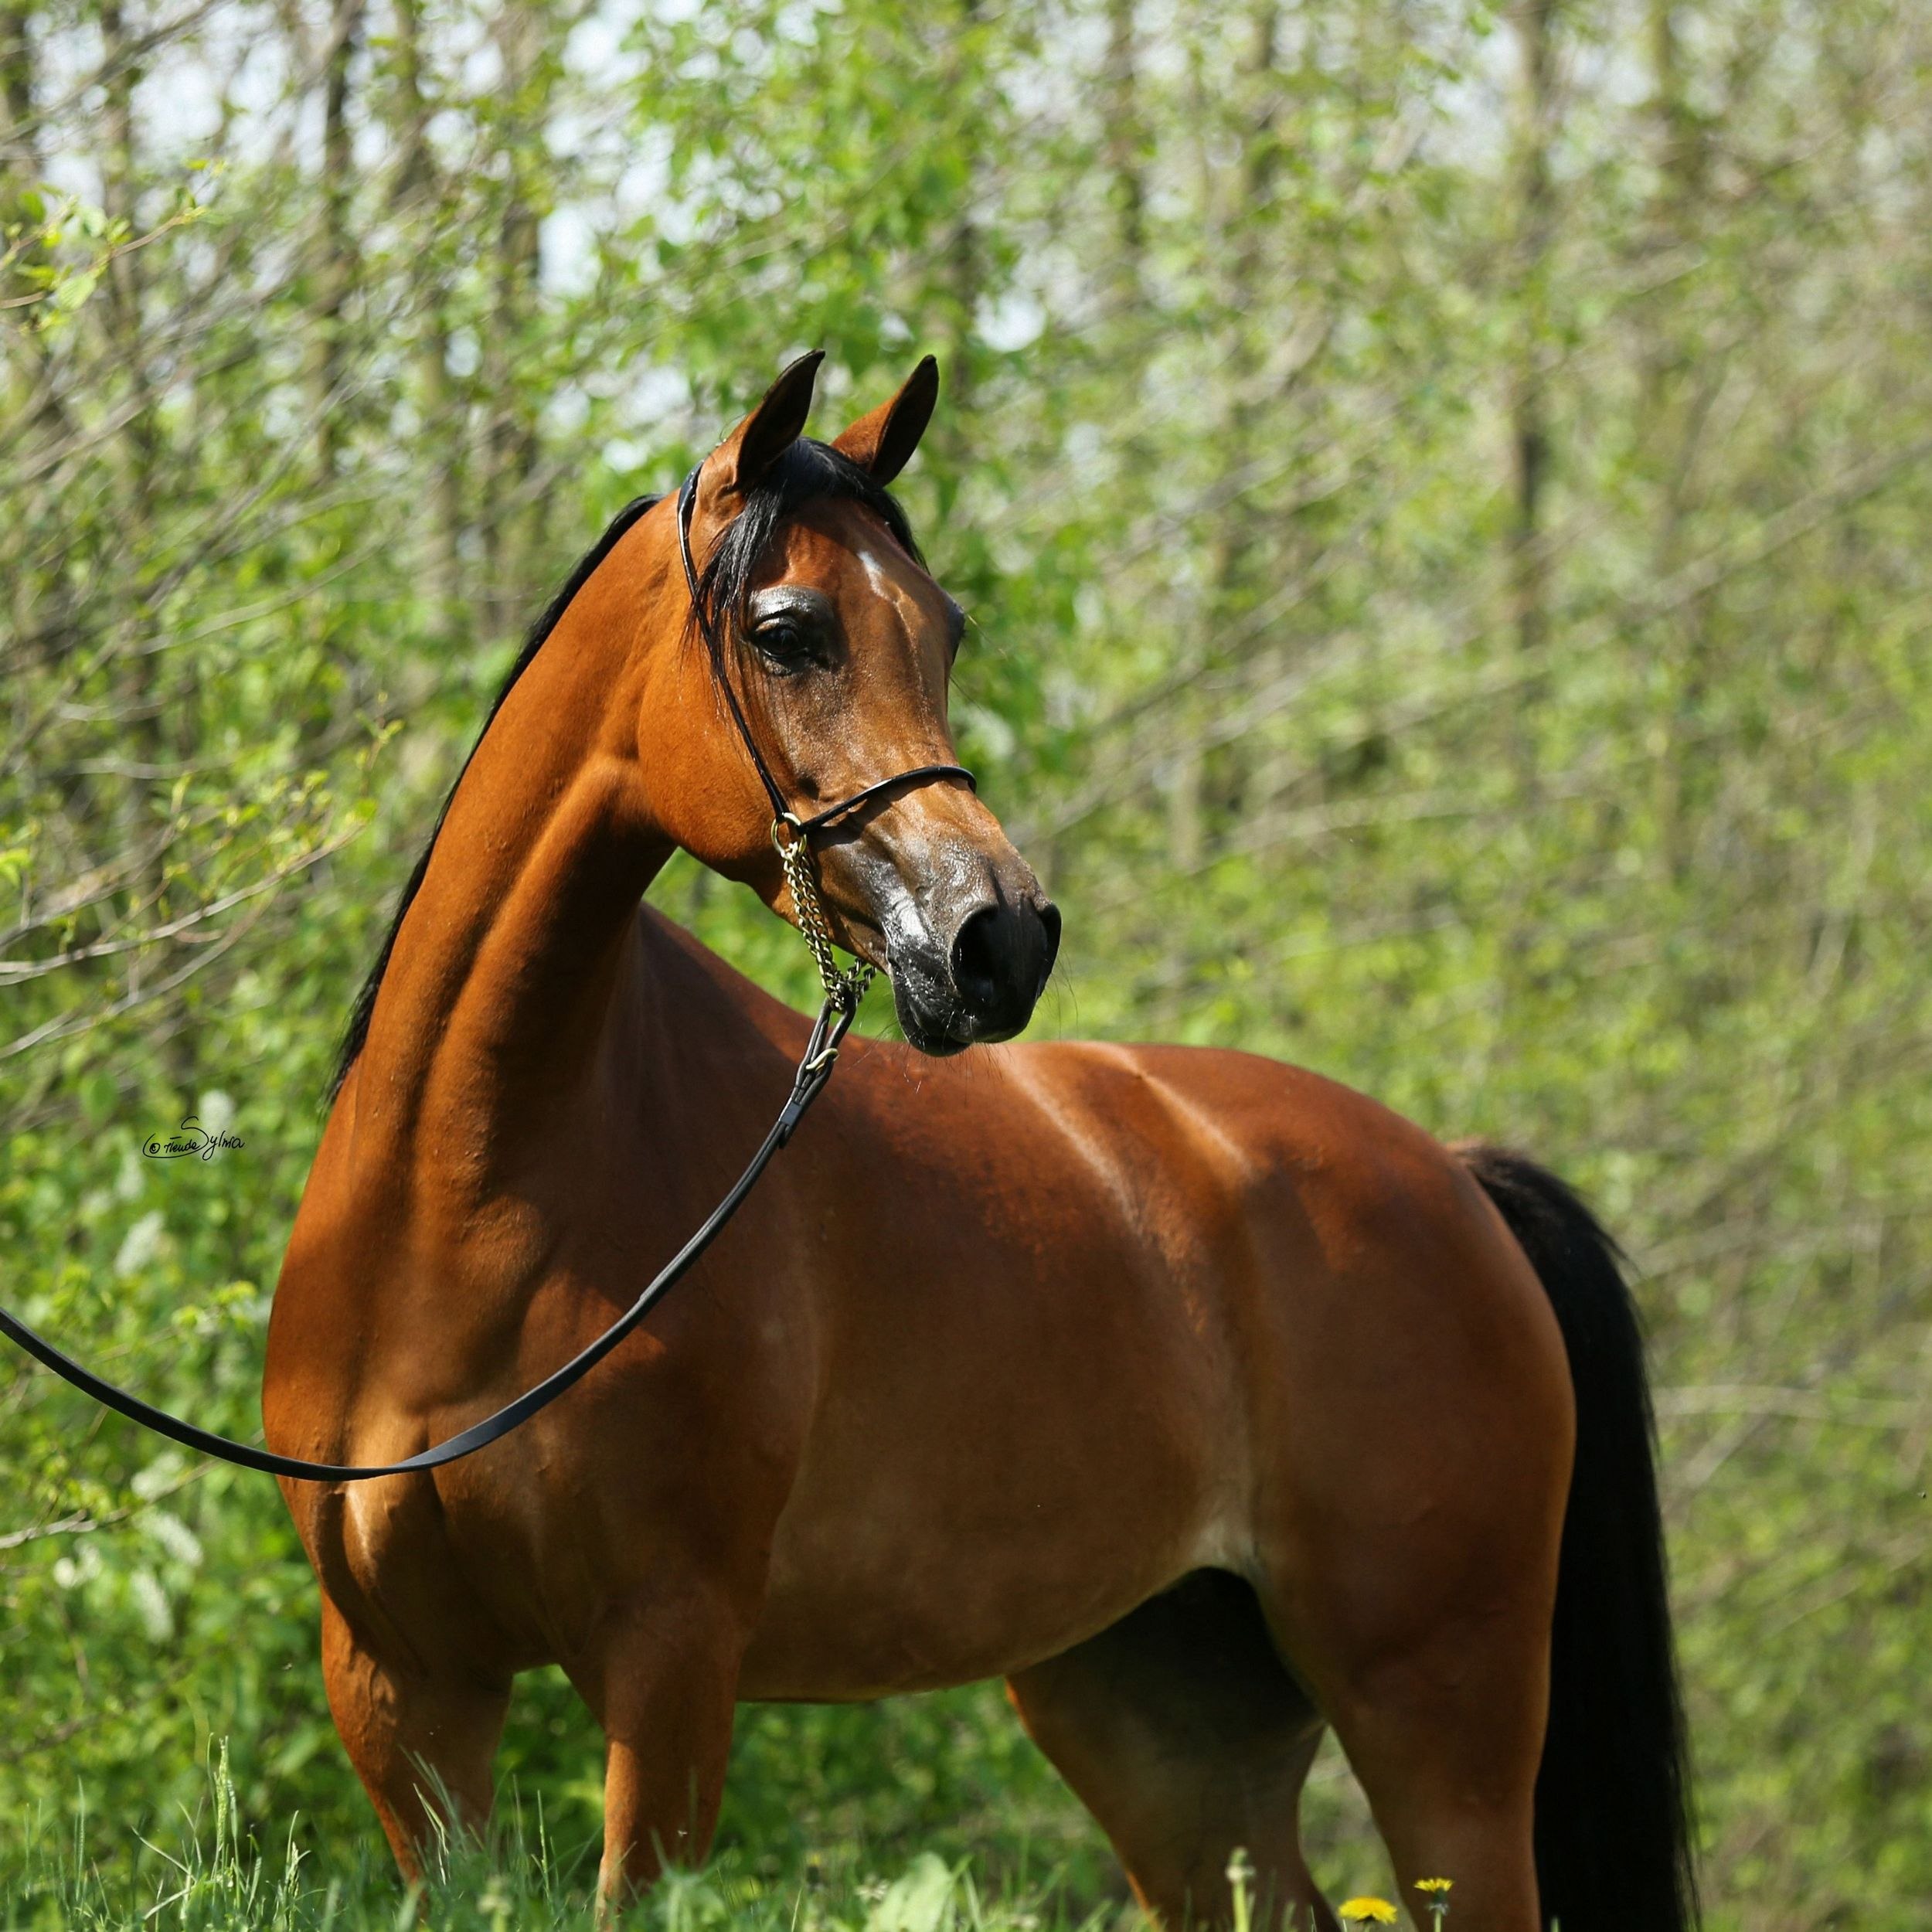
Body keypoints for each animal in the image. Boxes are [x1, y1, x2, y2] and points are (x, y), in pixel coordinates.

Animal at [268, 359, 1692, 1932]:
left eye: (943, 629)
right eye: (788, 632)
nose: (999, 937)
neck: (470, 1200)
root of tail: (1456, 1178)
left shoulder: (669, 1661)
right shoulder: (405, 1688)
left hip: (1442, 1725)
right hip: (1163, 1728)